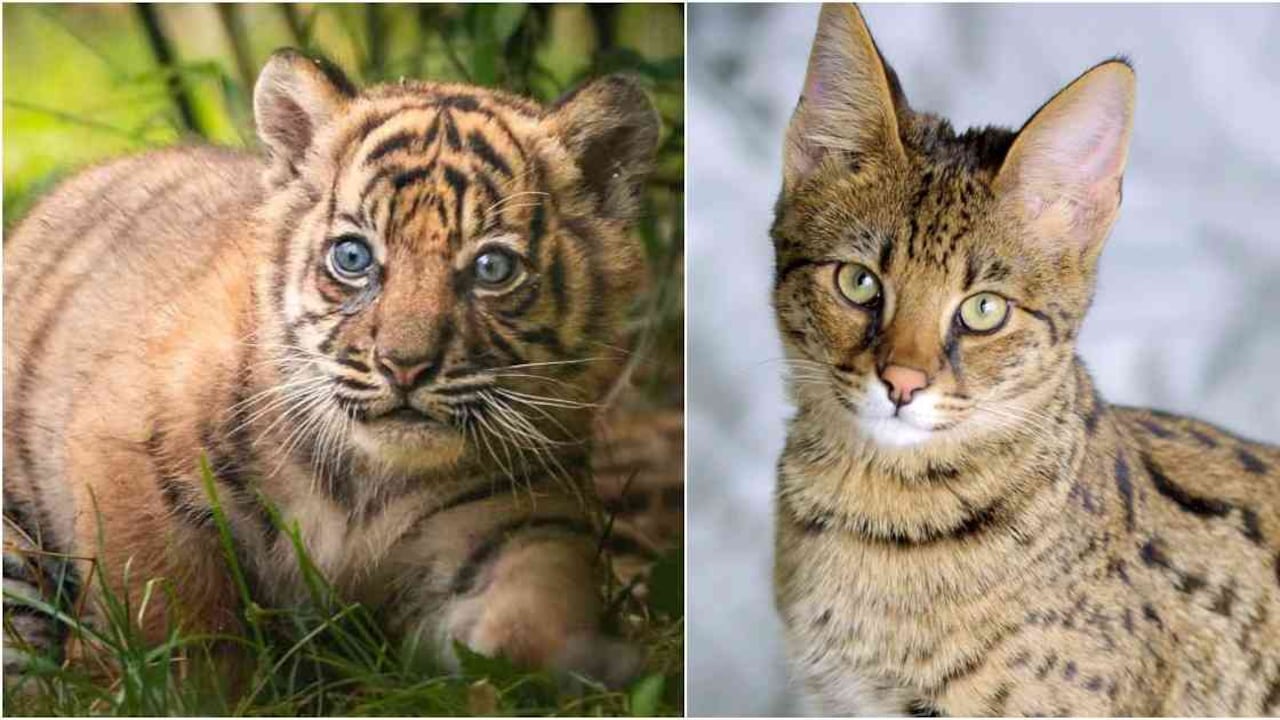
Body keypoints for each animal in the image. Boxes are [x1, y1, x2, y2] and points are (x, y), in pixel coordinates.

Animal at [2, 48, 661, 688]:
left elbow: (533, 617)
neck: (369, 483)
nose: (404, 367)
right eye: (353, 257)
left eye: (492, 268)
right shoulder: (126, 459)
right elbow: (177, 623)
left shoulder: (515, 523)